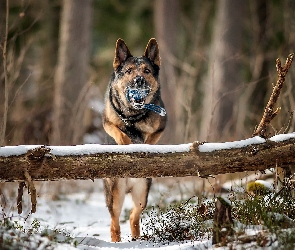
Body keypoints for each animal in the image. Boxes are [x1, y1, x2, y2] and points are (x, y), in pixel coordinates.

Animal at [102, 38, 166, 241]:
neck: (133, 115)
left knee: (133, 217)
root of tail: (129, 184)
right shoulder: (107, 122)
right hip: (115, 195)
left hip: (142, 195)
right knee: (114, 222)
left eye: (146, 71)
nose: (139, 80)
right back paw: (116, 241)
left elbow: (150, 140)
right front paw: (126, 144)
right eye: (129, 71)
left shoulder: (161, 127)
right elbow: (119, 133)